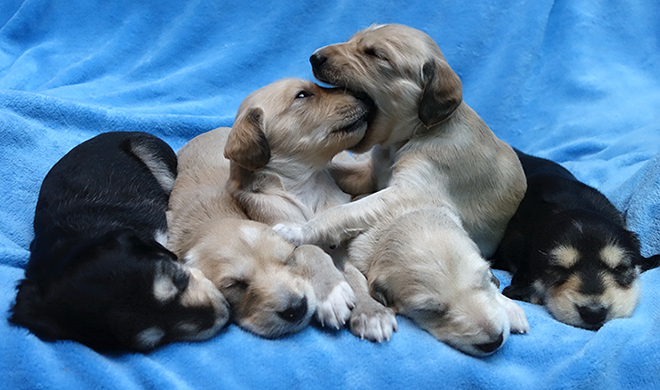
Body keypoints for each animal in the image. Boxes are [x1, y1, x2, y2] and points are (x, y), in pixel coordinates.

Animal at [168, 120, 358, 336]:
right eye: (235, 284)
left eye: (287, 260)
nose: (297, 309)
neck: (214, 215)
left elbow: (310, 249)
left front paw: (332, 293)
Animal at [222, 77, 398, 342]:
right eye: (303, 95)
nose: (365, 96)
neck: (306, 187)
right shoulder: (282, 234)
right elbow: (311, 250)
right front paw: (331, 293)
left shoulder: (341, 245)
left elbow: (353, 272)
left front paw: (371, 312)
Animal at [274, 22, 532, 354]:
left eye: (376, 54)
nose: (314, 57)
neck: (414, 135)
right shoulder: (371, 175)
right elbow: (338, 173)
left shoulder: (407, 191)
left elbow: (343, 212)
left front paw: (297, 231)